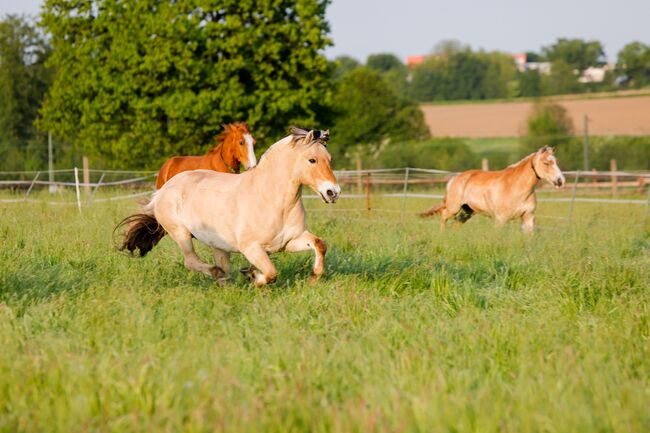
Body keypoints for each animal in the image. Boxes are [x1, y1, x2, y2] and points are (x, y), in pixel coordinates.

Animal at [117, 126, 340, 286]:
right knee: (192, 261)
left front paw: (313, 278)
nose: (333, 192)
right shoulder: (252, 248)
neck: (272, 200)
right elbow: (270, 273)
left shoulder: (288, 242)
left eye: (329, 159)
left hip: (218, 244)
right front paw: (253, 277)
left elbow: (320, 244)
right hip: (181, 234)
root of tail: (163, 189)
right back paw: (218, 275)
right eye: (312, 160)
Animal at [420, 146, 560, 233]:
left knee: (455, 224)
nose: (559, 180)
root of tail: (454, 178)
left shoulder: (528, 217)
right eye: (546, 163)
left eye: (556, 162)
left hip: (467, 211)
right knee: (443, 216)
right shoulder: (501, 219)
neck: (516, 187)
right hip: (453, 208)